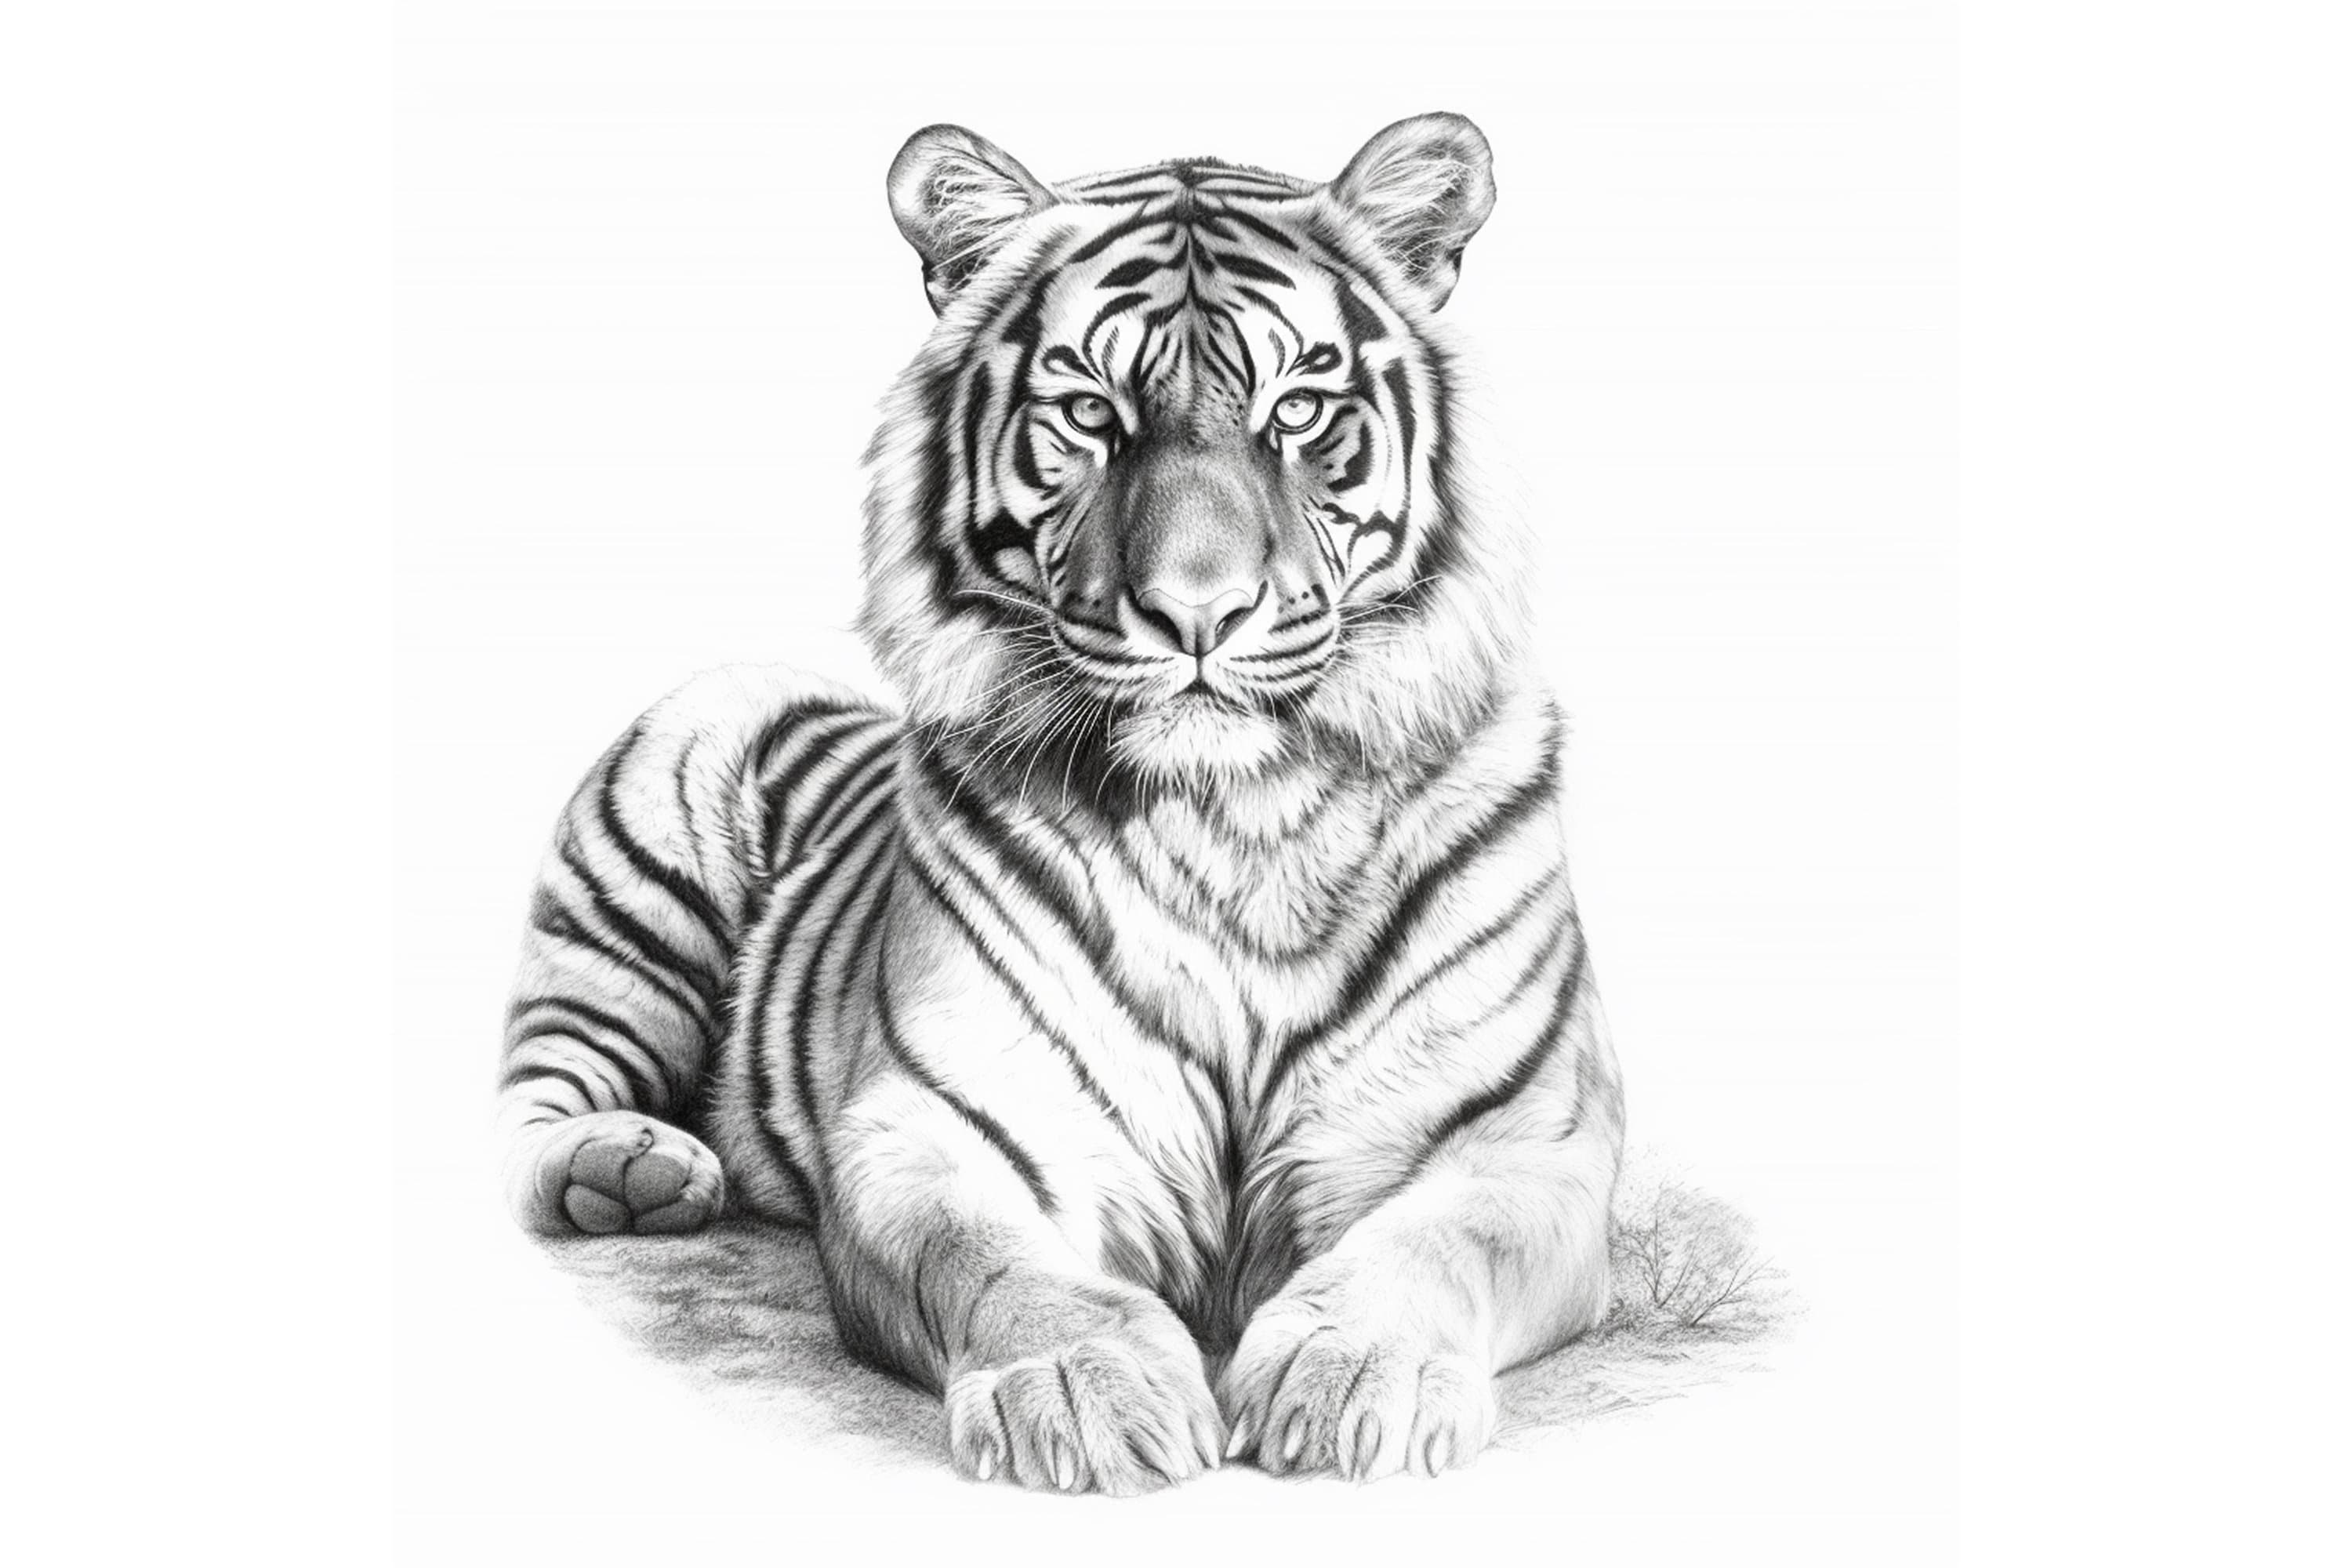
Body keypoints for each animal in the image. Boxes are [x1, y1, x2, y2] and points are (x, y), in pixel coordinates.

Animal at [499, 112, 1626, 1494]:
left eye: (1299, 410)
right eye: (1091, 412)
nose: (1199, 611)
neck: (1232, 821)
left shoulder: (1523, 1135)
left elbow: (1433, 1244)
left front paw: (1358, 1378)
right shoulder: (941, 1128)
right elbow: (999, 1267)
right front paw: (1087, 1395)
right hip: (639, 864)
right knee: (536, 1088)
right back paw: (628, 1173)